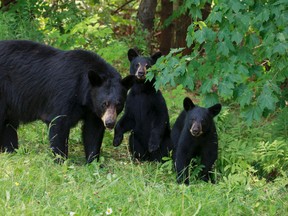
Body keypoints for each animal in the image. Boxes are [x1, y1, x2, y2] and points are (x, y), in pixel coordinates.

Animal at [0, 39, 134, 163]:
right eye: (104, 104)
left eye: (119, 104)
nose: (110, 123)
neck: (83, 94)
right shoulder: (64, 94)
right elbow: (58, 123)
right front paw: (61, 160)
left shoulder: (92, 109)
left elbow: (93, 131)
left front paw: (93, 161)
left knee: (8, 126)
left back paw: (10, 150)